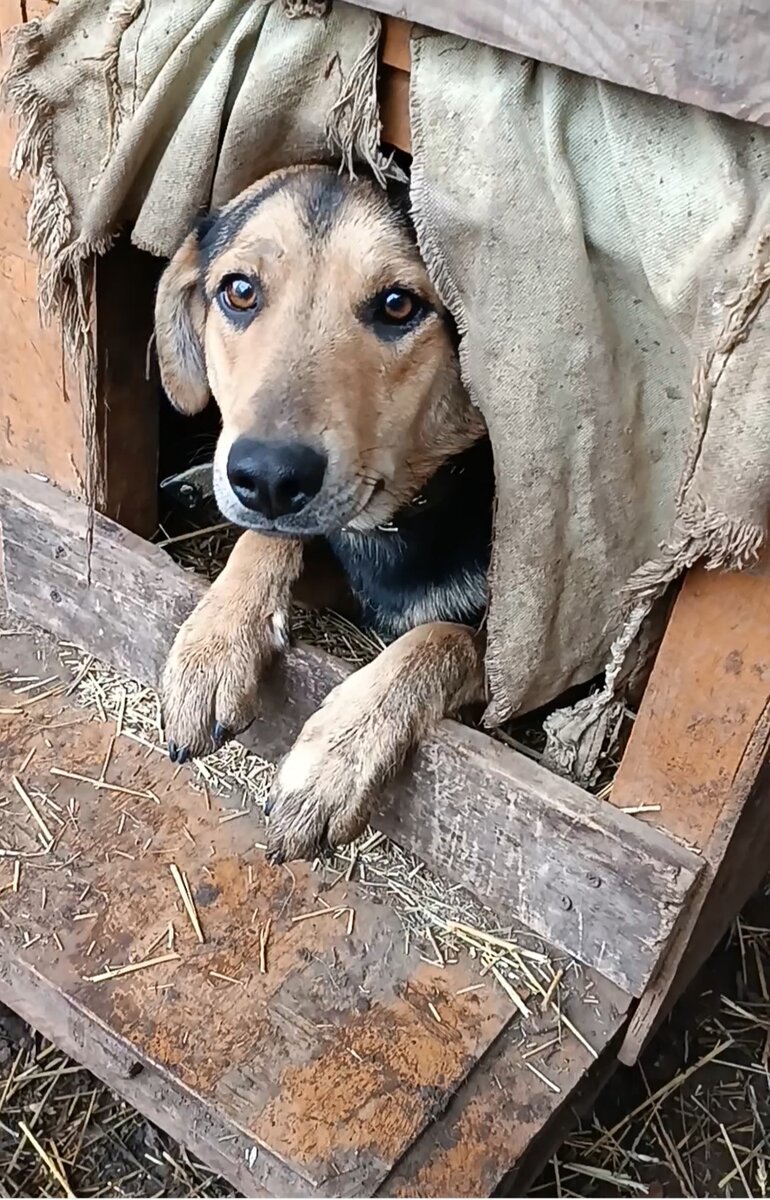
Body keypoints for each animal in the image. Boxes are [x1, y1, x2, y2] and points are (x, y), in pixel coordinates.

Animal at [154, 166, 491, 864]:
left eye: (398, 305)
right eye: (240, 291)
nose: (268, 478)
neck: (398, 521)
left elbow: (439, 637)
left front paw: (336, 756)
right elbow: (265, 540)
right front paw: (213, 642)